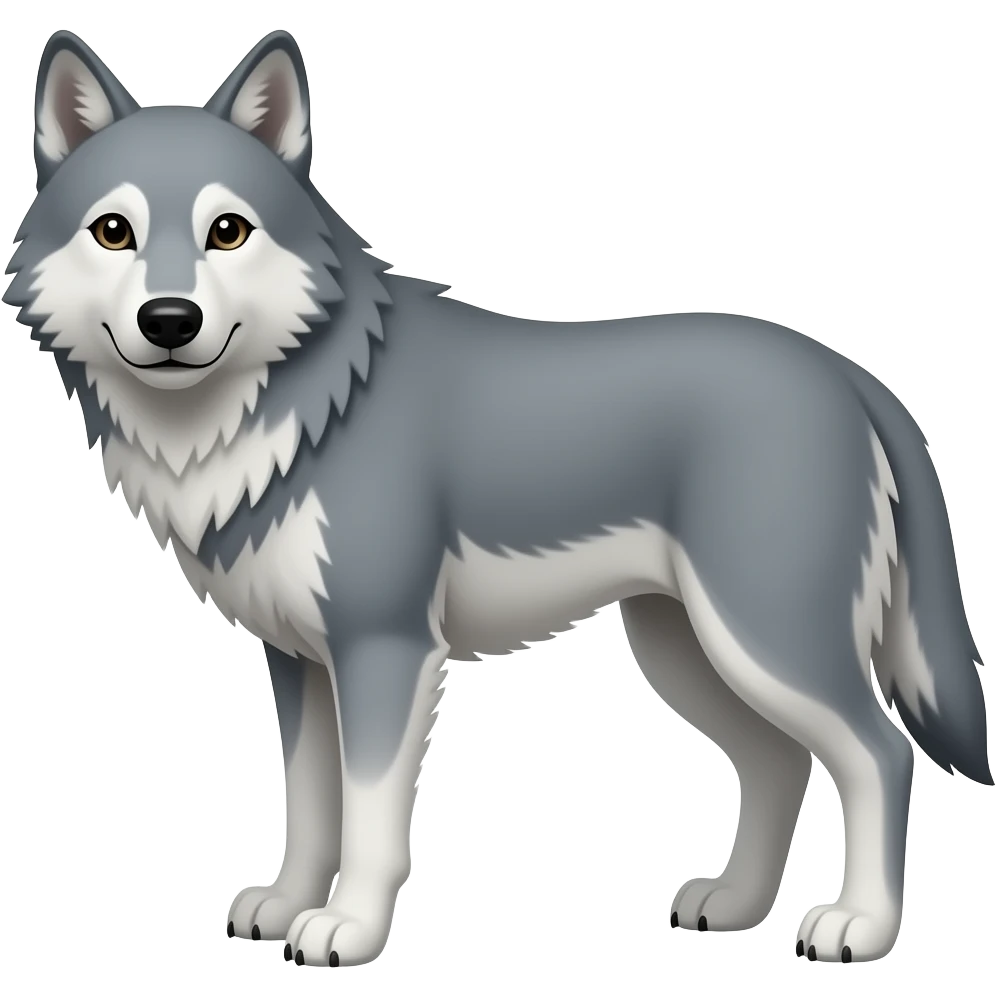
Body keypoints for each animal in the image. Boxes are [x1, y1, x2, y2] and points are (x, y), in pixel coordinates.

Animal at [4, 27, 992, 969]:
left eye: (229, 231)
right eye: (114, 232)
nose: (170, 321)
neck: (305, 403)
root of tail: (848, 373)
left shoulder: (386, 648)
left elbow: (369, 819)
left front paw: (346, 930)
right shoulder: (299, 661)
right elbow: (309, 808)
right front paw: (286, 905)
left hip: (763, 640)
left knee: (878, 754)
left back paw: (858, 926)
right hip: (686, 650)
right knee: (780, 761)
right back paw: (736, 905)